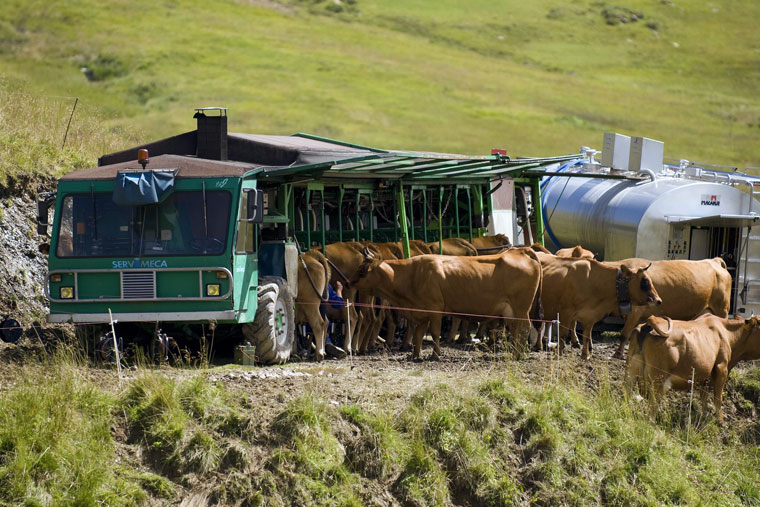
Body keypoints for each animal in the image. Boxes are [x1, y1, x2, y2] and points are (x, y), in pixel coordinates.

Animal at [348, 249, 540, 362]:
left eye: (362, 271)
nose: (349, 282)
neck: (411, 275)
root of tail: (519, 251)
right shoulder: (422, 313)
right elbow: (418, 335)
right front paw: (415, 355)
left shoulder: (435, 309)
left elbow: (435, 333)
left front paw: (435, 355)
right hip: (512, 310)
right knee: (516, 329)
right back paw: (517, 352)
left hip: (521, 308)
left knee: (524, 328)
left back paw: (518, 354)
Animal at [532, 254, 664, 362]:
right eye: (645, 282)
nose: (658, 301)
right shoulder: (566, 312)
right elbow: (563, 334)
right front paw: (559, 354)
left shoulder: (590, 316)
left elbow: (586, 336)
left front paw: (585, 355)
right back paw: (538, 346)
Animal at [628, 316, 760, 422]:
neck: (727, 332)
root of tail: (650, 322)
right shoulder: (722, 368)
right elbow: (718, 398)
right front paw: (721, 422)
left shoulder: (704, 378)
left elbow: (704, 398)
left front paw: (704, 417)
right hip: (658, 379)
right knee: (652, 408)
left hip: (630, 372)